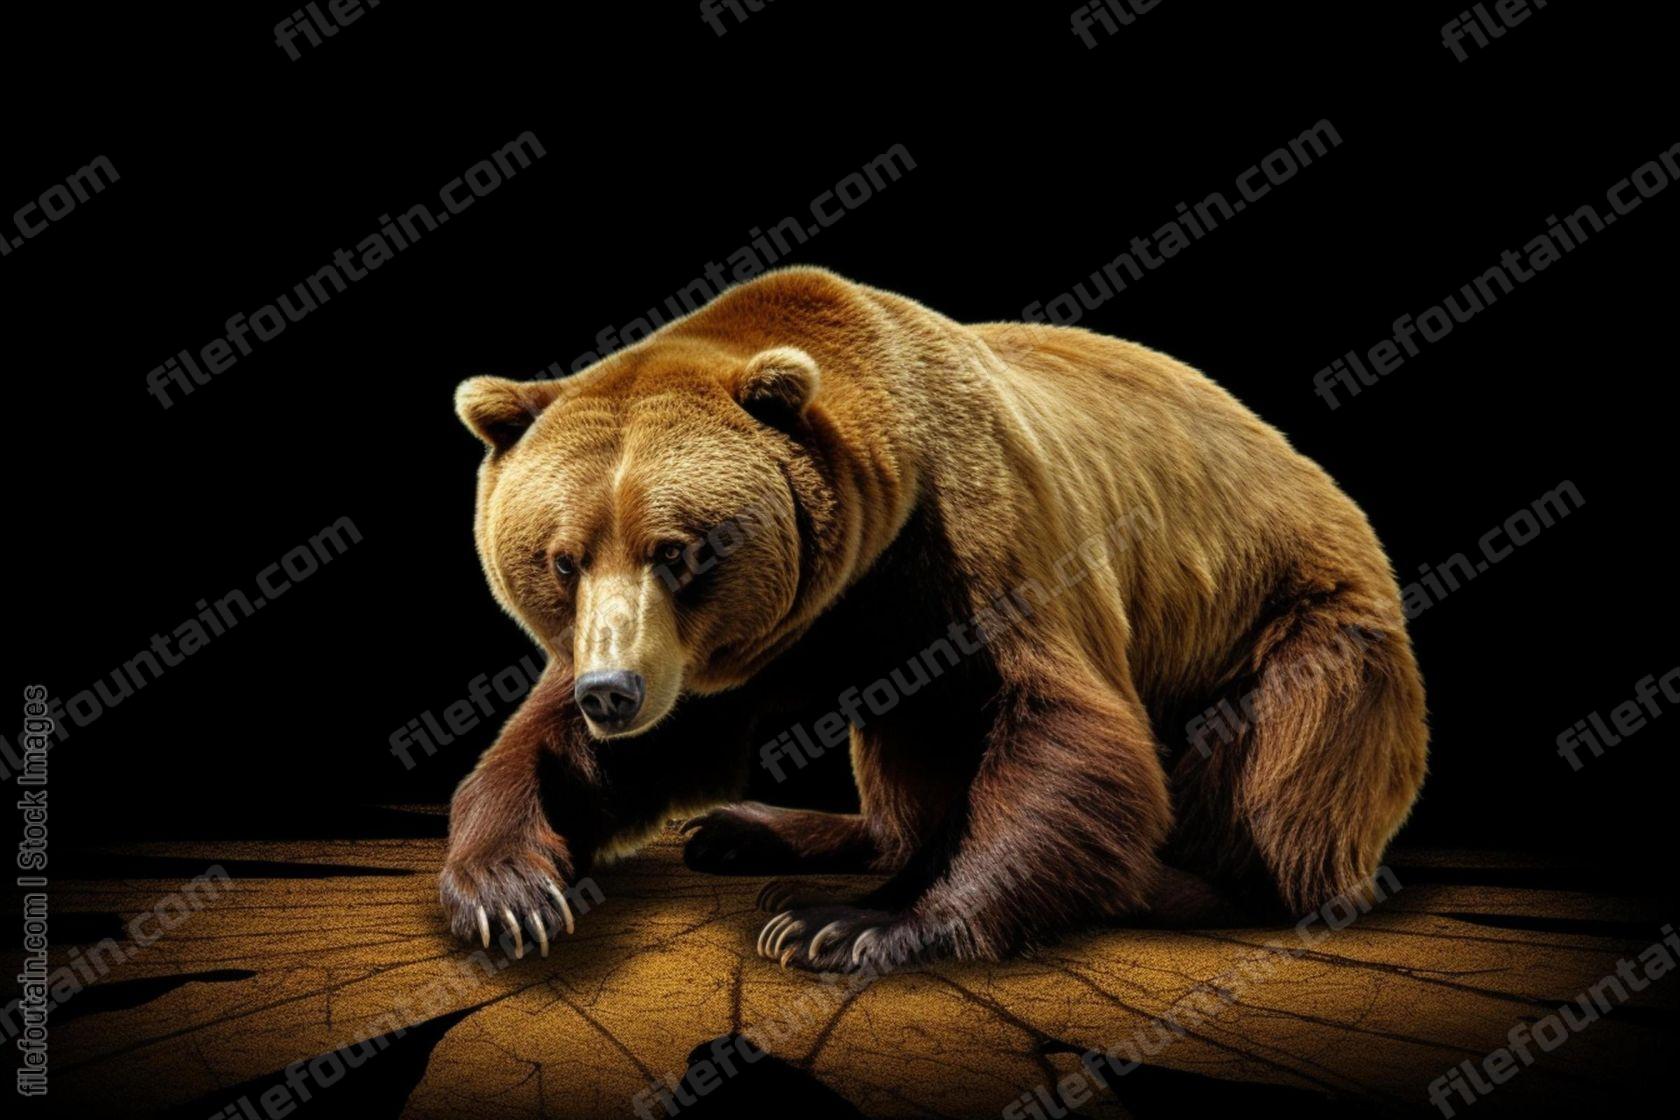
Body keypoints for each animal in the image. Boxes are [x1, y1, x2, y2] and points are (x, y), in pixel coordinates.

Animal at [441, 266, 1428, 971]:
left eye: (679, 551)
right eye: (563, 559)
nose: (613, 690)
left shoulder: (980, 532)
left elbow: (1067, 724)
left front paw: (856, 926)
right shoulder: (753, 640)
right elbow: (591, 744)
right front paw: (506, 890)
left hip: (1302, 618)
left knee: (1283, 761)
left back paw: (1189, 883)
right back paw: (752, 827)